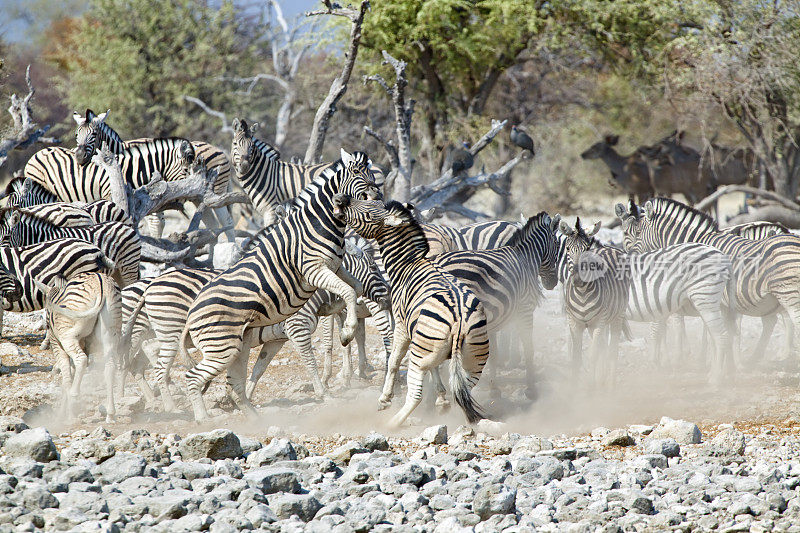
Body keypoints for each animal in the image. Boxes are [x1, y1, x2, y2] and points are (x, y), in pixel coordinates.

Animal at [33, 272, 121, 422]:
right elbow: (72, 373)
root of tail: (101, 283)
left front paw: (66, 414)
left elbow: (66, 376)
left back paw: (74, 397)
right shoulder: (85, 344)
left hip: (68, 337)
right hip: (110, 334)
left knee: (81, 359)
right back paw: (110, 414)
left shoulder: (57, 343)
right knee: (110, 366)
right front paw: (65, 411)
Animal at [230, 116, 382, 224]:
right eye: (235, 144)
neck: (265, 173)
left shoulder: (272, 209)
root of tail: (373, 165)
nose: (245, 165)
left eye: (252, 146)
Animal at [330, 197, 488, 426]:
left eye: (368, 213)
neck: (407, 263)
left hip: (419, 357)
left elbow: (393, 360)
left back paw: (392, 423)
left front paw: (385, 397)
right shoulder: (423, 338)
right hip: (473, 360)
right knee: (463, 390)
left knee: (415, 395)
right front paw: (441, 399)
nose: (340, 199)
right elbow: (434, 369)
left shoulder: (403, 326)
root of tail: (459, 322)